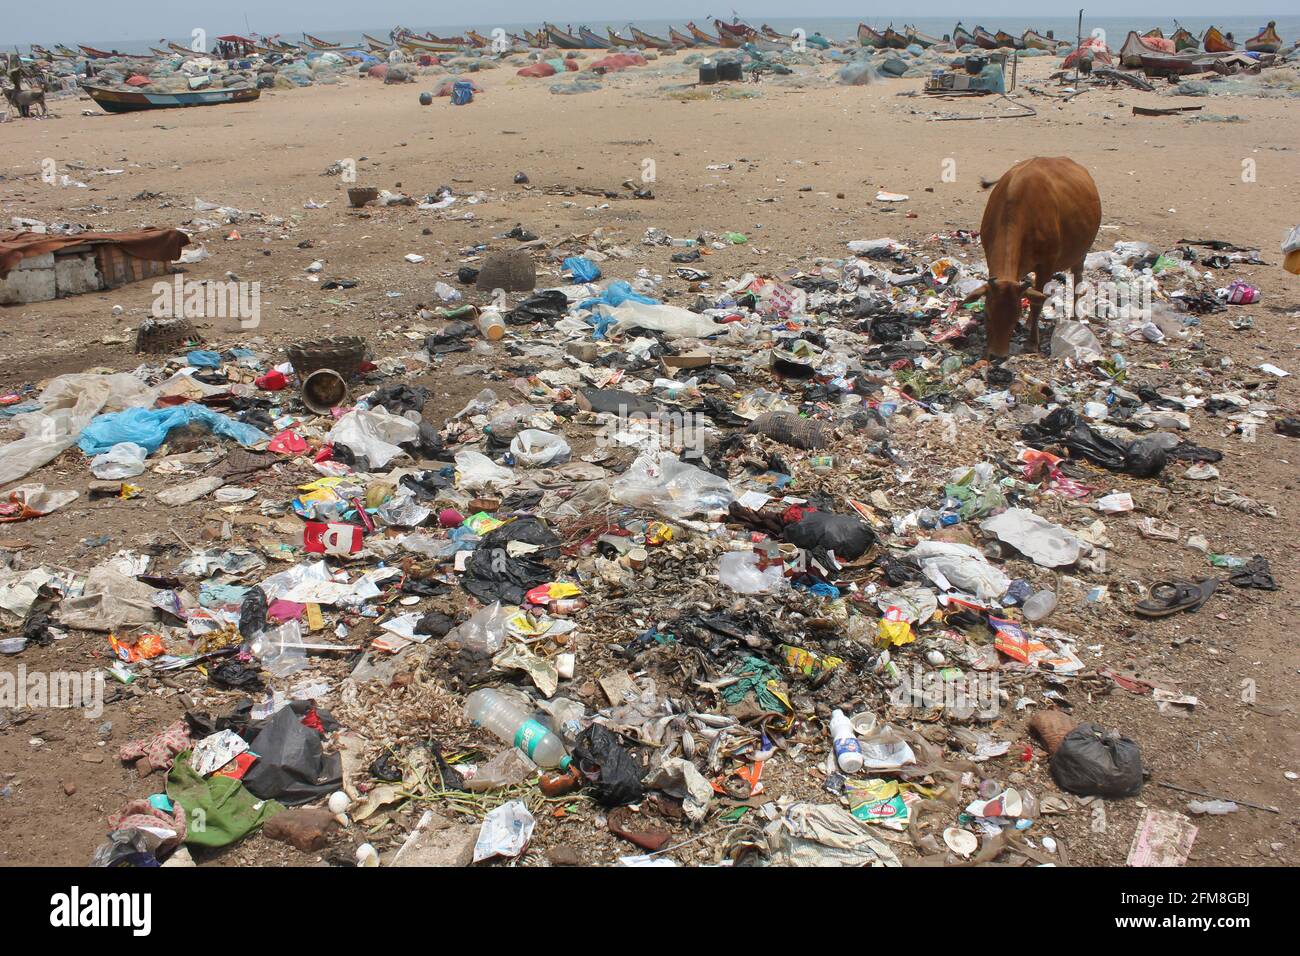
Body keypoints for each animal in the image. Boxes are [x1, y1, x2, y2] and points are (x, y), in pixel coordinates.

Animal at [967, 157, 1097, 358]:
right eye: (987, 314)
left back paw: (1074, 317)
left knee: (1077, 279)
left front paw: (1032, 343)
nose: (997, 355)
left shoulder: (1047, 264)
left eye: (1015, 316)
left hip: (1081, 253)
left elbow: (1038, 302)